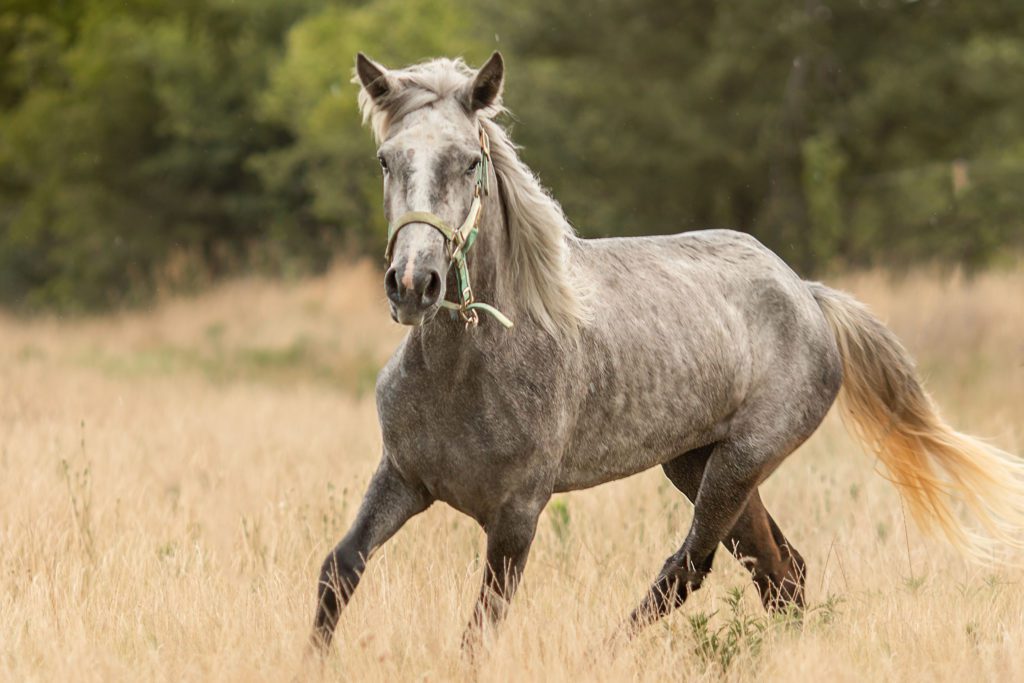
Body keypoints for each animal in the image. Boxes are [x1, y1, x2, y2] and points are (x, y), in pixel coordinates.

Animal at [311, 51, 1024, 652]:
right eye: (386, 160)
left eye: (467, 162)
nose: (414, 284)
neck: (466, 370)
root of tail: (808, 293)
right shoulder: (402, 477)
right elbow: (338, 569)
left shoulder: (516, 518)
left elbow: (480, 632)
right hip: (697, 465)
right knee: (781, 572)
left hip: (739, 463)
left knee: (692, 568)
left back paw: (604, 653)